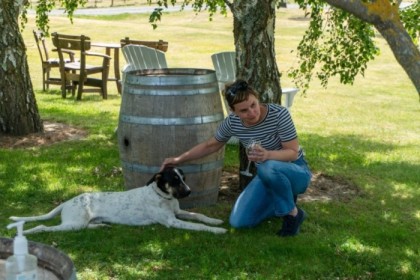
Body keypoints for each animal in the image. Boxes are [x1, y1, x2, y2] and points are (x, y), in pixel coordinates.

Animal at [9, 167, 226, 235]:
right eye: (174, 180)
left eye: (184, 178)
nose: (189, 192)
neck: (162, 197)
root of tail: (68, 201)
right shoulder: (172, 221)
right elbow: (198, 226)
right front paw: (217, 230)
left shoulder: (178, 213)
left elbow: (199, 215)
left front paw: (215, 221)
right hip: (73, 223)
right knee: (43, 227)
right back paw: (28, 232)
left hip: (78, 223)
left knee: (87, 226)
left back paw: (101, 225)